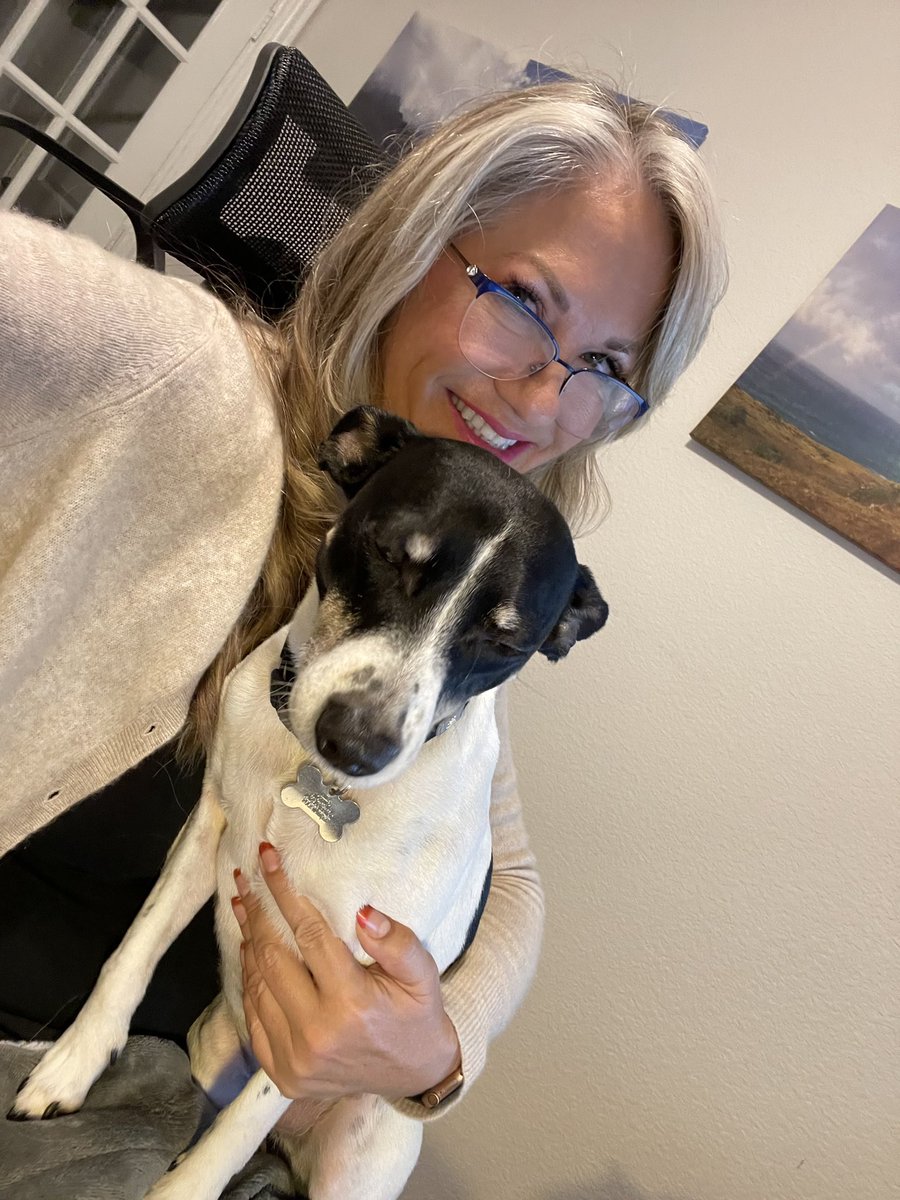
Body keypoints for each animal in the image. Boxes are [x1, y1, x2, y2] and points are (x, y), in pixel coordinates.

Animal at [10, 408, 609, 1195]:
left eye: (505, 644)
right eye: (388, 553)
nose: (357, 745)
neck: (308, 775)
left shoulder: (340, 1010)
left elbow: (236, 1130)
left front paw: (182, 1188)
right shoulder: (208, 829)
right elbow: (132, 952)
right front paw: (73, 1063)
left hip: (356, 1158)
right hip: (209, 1053)